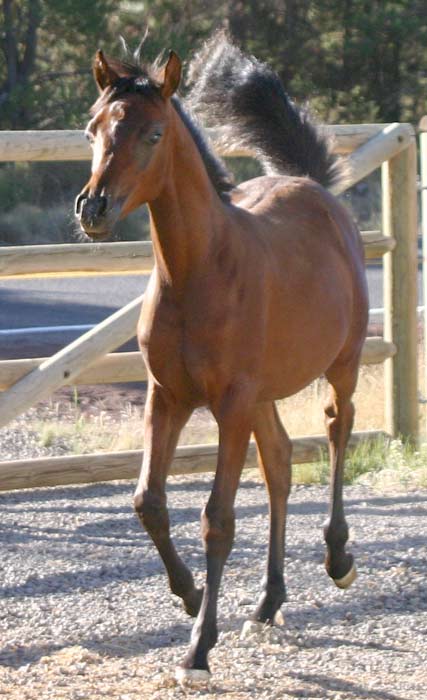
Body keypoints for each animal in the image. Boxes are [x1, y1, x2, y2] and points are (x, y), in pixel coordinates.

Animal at [75, 33, 369, 684]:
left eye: (153, 134)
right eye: (91, 129)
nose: (93, 209)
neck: (199, 273)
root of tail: (310, 186)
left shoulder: (229, 404)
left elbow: (217, 519)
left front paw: (198, 649)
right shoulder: (166, 396)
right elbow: (149, 503)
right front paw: (187, 596)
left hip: (341, 363)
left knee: (338, 429)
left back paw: (338, 556)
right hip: (263, 396)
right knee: (280, 465)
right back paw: (267, 601)